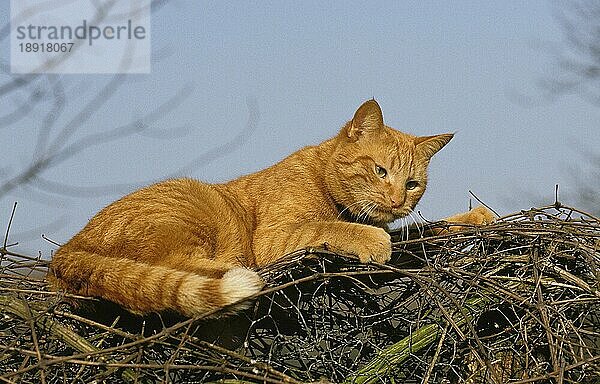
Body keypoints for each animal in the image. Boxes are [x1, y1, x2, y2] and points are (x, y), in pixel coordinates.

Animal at [49, 100, 494, 318]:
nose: (398, 200)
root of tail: (66, 250)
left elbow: (422, 230)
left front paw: (475, 218)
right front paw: (369, 238)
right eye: (380, 170)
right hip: (195, 211)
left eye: (413, 183)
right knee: (174, 269)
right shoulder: (277, 237)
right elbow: (330, 228)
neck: (323, 177)